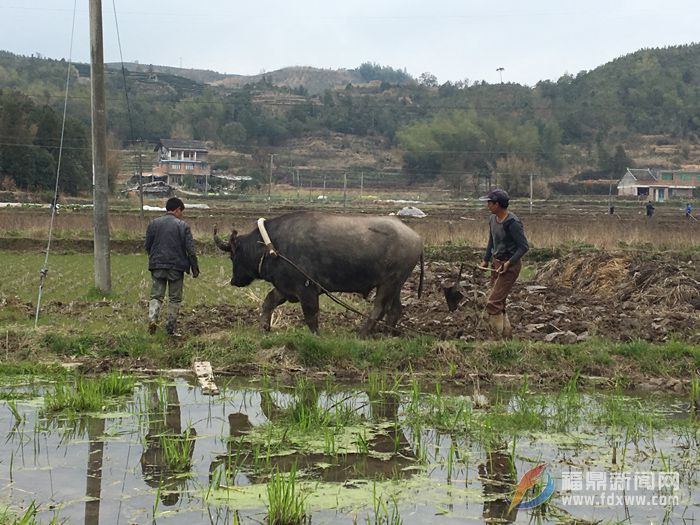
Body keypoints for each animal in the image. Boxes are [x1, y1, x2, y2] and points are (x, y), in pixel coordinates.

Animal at [215, 210, 422, 336]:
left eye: (233, 255)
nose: (233, 281)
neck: (272, 247)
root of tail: (415, 237)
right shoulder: (285, 287)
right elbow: (268, 302)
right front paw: (264, 327)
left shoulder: (306, 289)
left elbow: (311, 315)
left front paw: (316, 335)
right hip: (396, 285)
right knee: (395, 309)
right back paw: (387, 334)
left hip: (389, 283)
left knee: (379, 308)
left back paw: (362, 333)